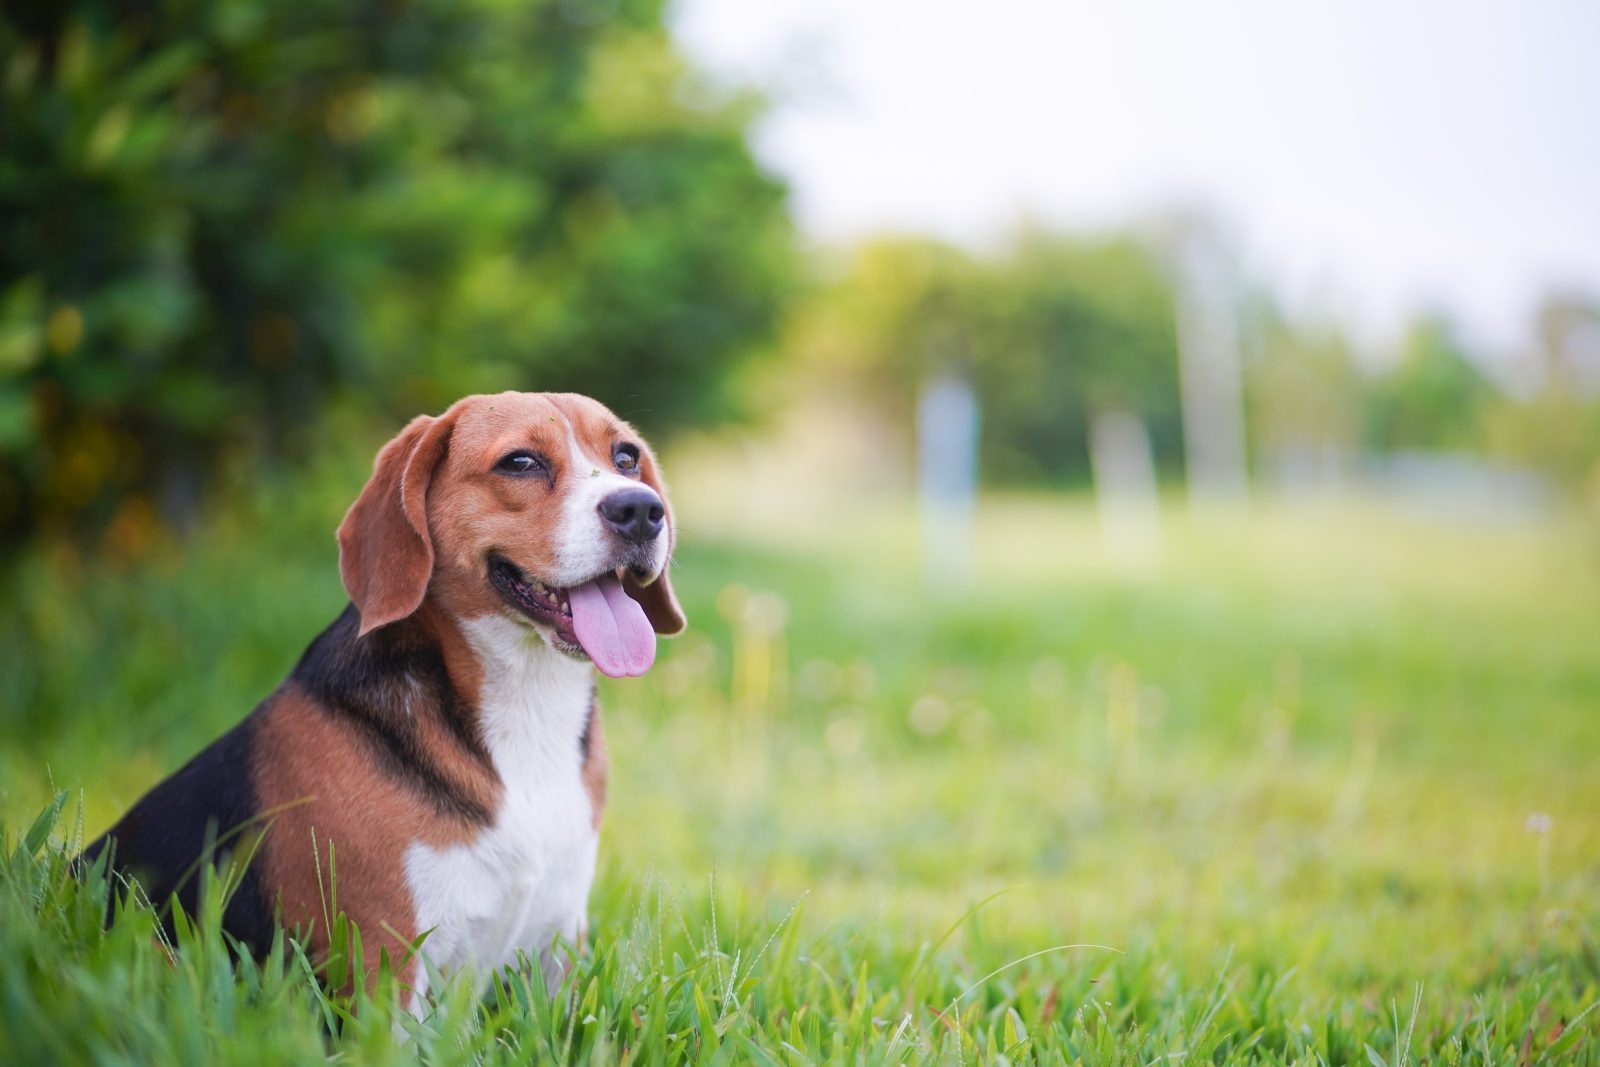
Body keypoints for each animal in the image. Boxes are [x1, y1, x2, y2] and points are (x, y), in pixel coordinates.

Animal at [82, 388, 681, 1004]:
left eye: (627, 458)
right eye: (520, 462)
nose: (641, 510)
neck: (529, 705)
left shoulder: (558, 950)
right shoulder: (386, 961)